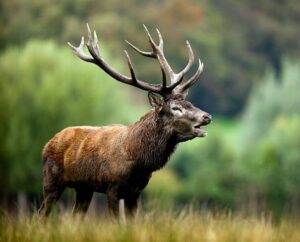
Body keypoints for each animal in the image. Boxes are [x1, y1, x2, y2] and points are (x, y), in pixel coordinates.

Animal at [38, 24, 211, 217]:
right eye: (175, 108)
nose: (207, 116)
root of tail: (48, 143)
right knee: (41, 214)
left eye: (190, 103)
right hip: (51, 180)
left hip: (84, 188)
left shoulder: (136, 192)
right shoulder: (112, 187)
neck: (138, 161)